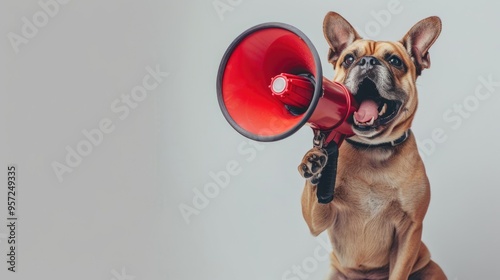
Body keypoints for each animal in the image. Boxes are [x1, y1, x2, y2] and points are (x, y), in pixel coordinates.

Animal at [298, 12, 448, 278]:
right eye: (349, 59)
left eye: (395, 61)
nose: (367, 61)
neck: (372, 149)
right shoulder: (320, 218)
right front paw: (314, 163)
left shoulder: (409, 231)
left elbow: (399, 270)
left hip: (429, 268)